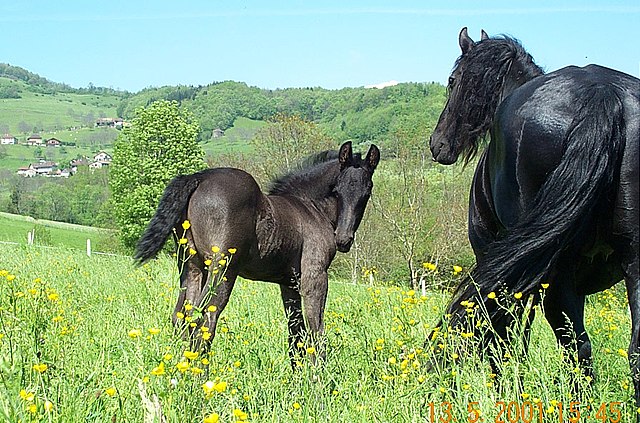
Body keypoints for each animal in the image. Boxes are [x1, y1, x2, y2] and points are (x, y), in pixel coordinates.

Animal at [132, 141, 378, 366]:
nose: (343, 240)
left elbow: (295, 333)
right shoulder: (315, 277)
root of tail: (199, 177)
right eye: (336, 190)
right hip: (223, 269)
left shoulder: (289, 284)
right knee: (205, 320)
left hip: (191, 266)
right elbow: (315, 330)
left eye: (366, 193)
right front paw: (319, 378)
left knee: (183, 316)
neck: (311, 208)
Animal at [430, 28, 640, 410]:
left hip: (555, 273)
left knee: (575, 348)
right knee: (630, 350)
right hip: (631, 262)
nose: (438, 144)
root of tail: (602, 94)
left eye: (452, 81)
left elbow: (502, 340)